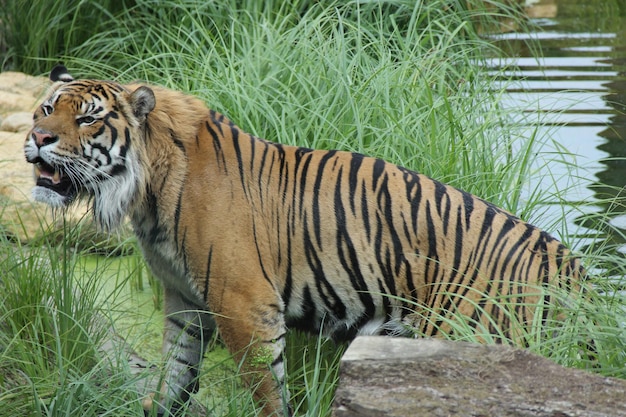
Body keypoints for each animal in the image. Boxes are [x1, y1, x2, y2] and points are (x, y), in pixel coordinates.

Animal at [23, 64, 580, 412]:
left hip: (470, 338)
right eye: (45, 110)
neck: (144, 193)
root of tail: (570, 266)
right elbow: (175, 374)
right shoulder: (184, 299)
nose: (38, 139)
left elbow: (266, 391)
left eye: (88, 118)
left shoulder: (243, 304)